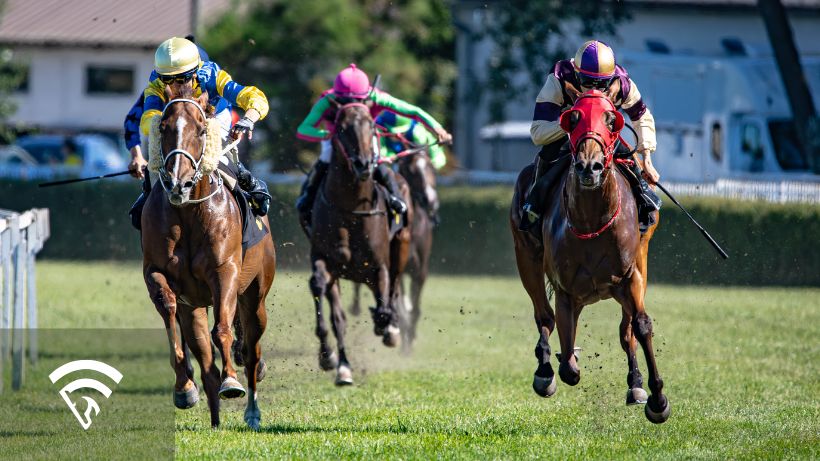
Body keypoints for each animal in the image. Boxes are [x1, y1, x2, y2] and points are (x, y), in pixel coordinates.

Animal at [141, 86, 276, 429]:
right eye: (163, 128)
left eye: (202, 130)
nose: (178, 183)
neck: (189, 213)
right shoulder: (157, 273)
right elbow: (169, 311)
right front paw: (184, 386)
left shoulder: (224, 271)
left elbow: (223, 330)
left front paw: (232, 381)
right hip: (197, 308)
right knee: (206, 362)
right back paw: (214, 419)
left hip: (255, 297)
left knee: (252, 351)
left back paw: (251, 410)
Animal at [304, 102, 413, 385]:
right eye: (342, 128)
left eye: (372, 126)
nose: (364, 163)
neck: (351, 209)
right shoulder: (325, 261)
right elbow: (325, 300)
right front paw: (331, 358)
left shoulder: (379, 266)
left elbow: (385, 301)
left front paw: (388, 327)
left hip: (402, 244)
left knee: (393, 288)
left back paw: (391, 327)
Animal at [509, 90, 669, 424]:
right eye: (573, 118)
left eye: (611, 120)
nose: (589, 167)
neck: (592, 222)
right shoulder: (566, 290)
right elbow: (568, 364)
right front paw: (560, 364)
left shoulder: (629, 277)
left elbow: (640, 326)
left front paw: (657, 399)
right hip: (526, 255)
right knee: (545, 316)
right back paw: (545, 371)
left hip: (641, 259)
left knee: (625, 331)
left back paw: (635, 384)